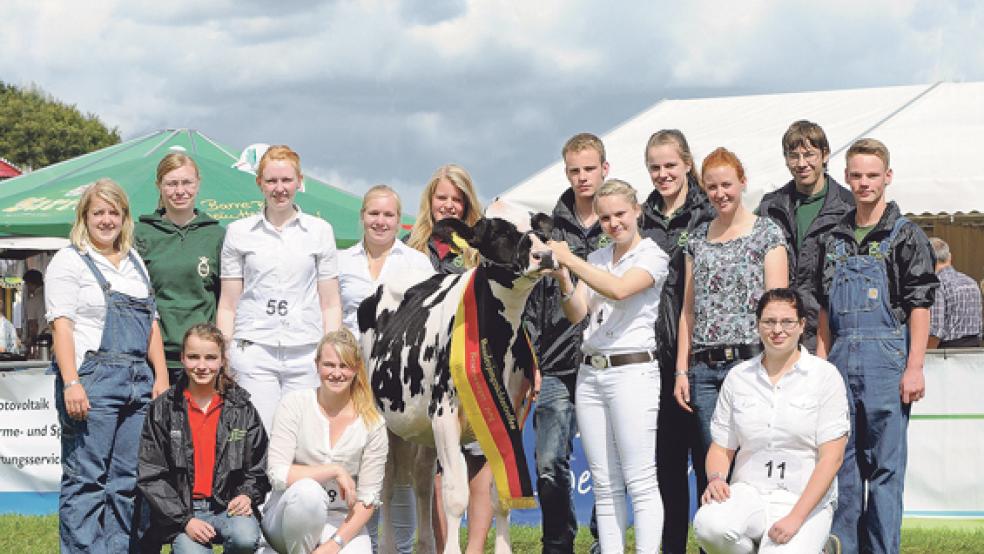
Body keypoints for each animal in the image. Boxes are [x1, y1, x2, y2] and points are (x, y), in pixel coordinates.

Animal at [358, 212, 552, 552]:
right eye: (499, 232)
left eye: (539, 229)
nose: (545, 254)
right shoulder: (444, 413)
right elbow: (455, 495)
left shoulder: (511, 414)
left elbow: (500, 494)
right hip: (387, 421)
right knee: (388, 484)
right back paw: (388, 545)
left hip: (422, 427)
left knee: (422, 481)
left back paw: (425, 544)